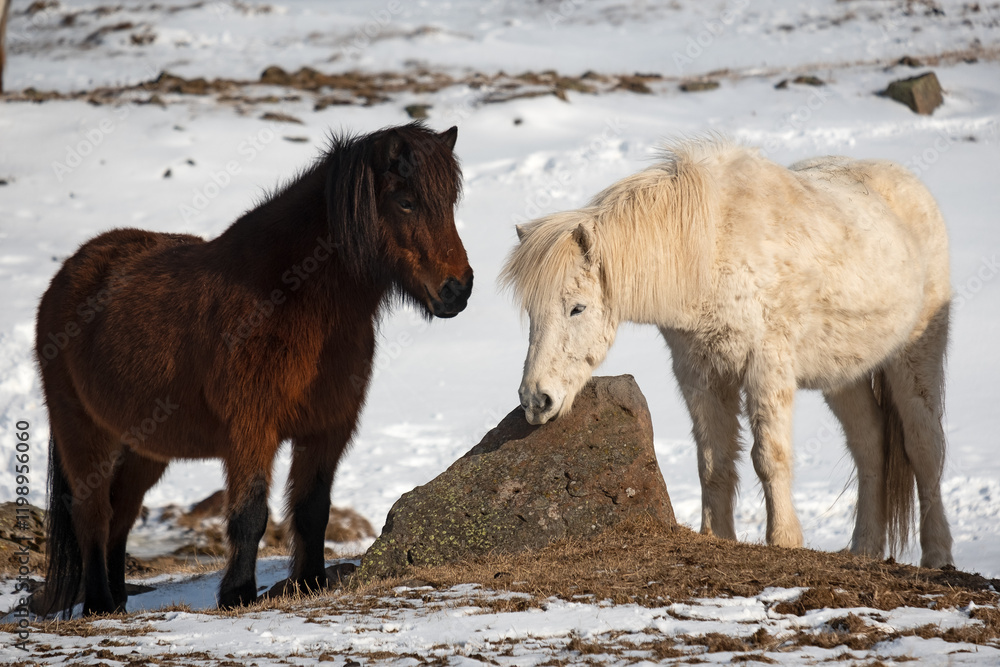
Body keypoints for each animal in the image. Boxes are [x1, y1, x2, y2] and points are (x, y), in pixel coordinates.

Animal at [36, 122, 473, 616]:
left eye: (450, 201)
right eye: (405, 202)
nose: (458, 289)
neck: (289, 299)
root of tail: (70, 273)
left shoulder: (327, 429)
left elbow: (312, 509)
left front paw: (310, 582)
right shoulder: (251, 430)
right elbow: (251, 515)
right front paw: (237, 594)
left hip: (144, 445)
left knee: (122, 513)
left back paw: (116, 602)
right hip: (83, 432)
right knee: (93, 513)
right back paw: (97, 604)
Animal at [501, 137, 954, 569]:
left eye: (577, 308)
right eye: (532, 311)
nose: (535, 400)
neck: (712, 250)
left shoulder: (766, 369)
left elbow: (769, 456)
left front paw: (784, 540)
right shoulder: (700, 374)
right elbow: (713, 461)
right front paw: (716, 535)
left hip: (915, 357)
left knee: (924, 447)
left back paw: (938, 555)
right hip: (845, 374)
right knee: (870, 444)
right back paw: (864, 550)